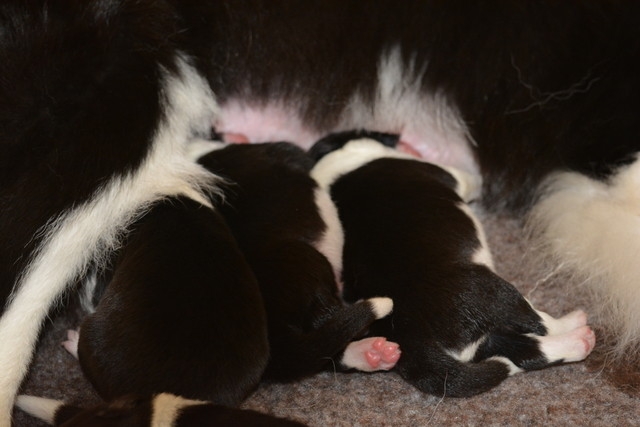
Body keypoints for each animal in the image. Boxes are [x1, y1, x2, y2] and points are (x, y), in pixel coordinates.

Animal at [309, 130, 596, 397]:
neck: (332, 160)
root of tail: (407, 327)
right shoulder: (456, 176)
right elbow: (471, 178)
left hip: (482, 340)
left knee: (528, 351)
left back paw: (576, 342)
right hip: (494, 292)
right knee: (539, 323)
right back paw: (577, 326)